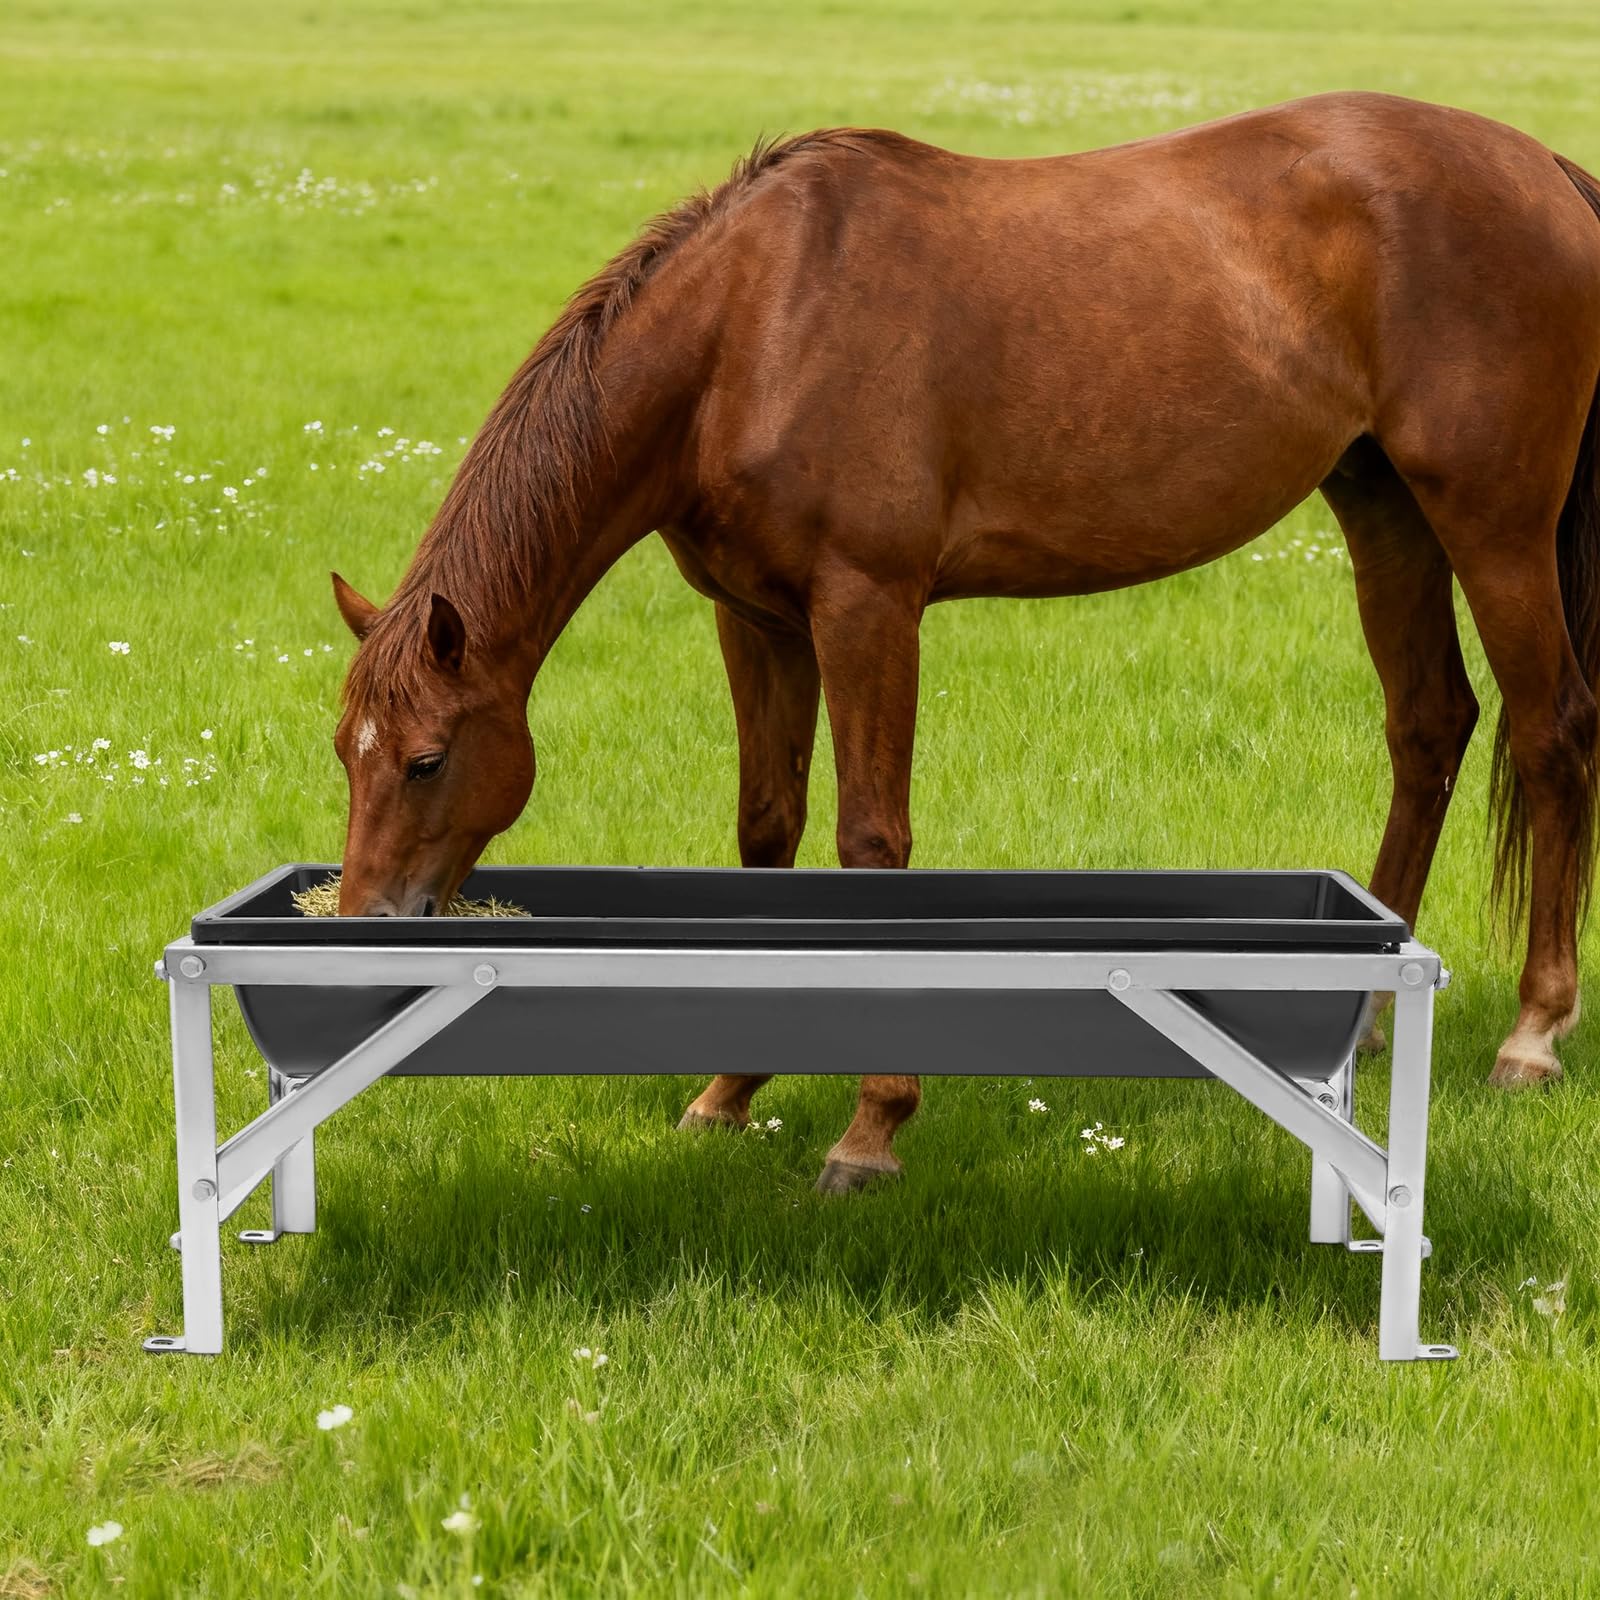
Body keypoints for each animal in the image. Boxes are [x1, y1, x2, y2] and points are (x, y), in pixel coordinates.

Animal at [330, 91, 1600, 1194]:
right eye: (345, 755)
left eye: (427, 759)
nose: (359, 932)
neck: (753, 325)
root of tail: (1540, 168)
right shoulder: (755, 622)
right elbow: (765, 832)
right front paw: (729, 1088)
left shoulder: (867, 607)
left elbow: (871, 843)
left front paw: (871, 1126)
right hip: (1383, 507)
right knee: (1428, 726)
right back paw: (1373, 1015)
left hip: (1491, 521)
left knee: (1552, 734)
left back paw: (1533, 1033)